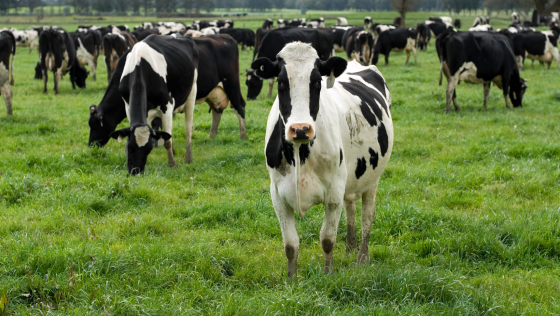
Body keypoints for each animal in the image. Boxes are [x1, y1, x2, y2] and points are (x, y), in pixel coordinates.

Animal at [108, 36, 198, 178]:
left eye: (148, 150)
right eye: (129, 147)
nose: (135, 172)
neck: (139, 64)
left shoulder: (167, 105)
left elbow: (167, 141)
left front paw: (172, 164)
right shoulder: (128, 106)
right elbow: (166, 135)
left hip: (192, 92)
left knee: (188, 128)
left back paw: (188, 158)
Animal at [252, 42, 392, 282]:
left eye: (317, 82)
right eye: (281, 82)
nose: (300, 129)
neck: (299, 154)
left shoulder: (334, 191)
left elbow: (327, 239)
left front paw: (327, 275)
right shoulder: (277, 194)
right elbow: (290, 244)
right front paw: (291, 280)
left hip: (372, 179)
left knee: (367, 216)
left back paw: (362, 258)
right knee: (351, 207)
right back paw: (350, 247)